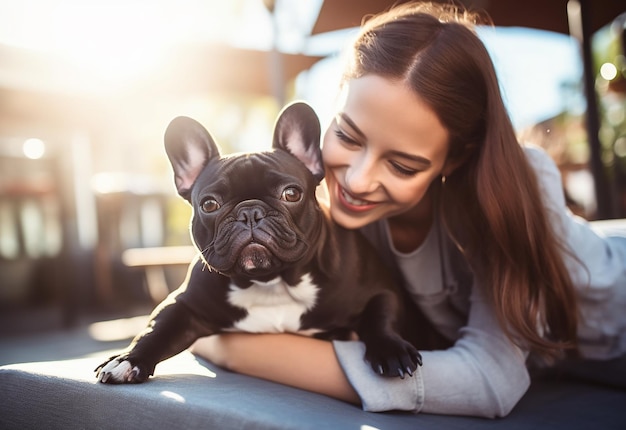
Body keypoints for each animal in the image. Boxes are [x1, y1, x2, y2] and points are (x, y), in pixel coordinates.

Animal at [96, 101, 420, 382]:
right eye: (209, 204)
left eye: (291, 193)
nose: (250, 212)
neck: (271, 282)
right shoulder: (184, 305)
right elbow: (157, 329)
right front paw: (126, 360)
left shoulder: (381, 289)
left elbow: (380, 317)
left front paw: (390, 349)